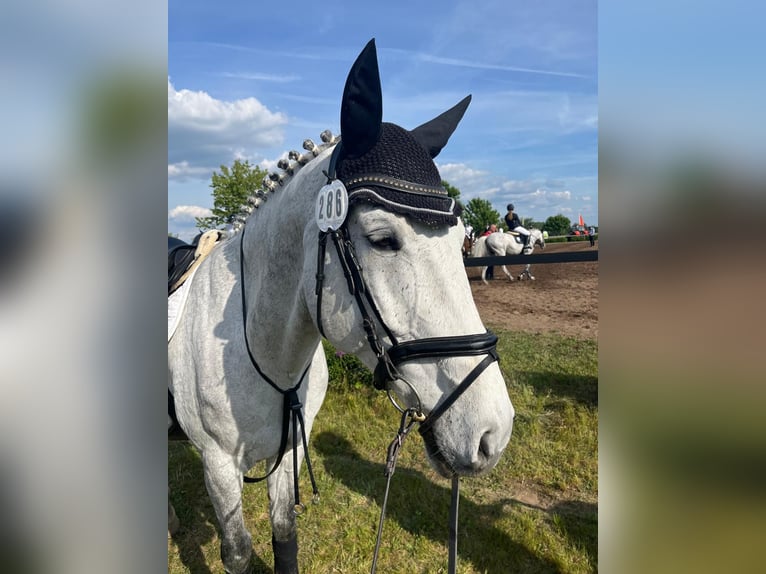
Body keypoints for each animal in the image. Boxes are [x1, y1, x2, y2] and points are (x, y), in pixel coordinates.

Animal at [168, 39, 514, 574]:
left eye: (460, 236)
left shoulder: (290, 453)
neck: (264, 352)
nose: (492, 434)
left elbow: (284, 537)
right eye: (382, 239)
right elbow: (238, 553)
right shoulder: (218, 468)